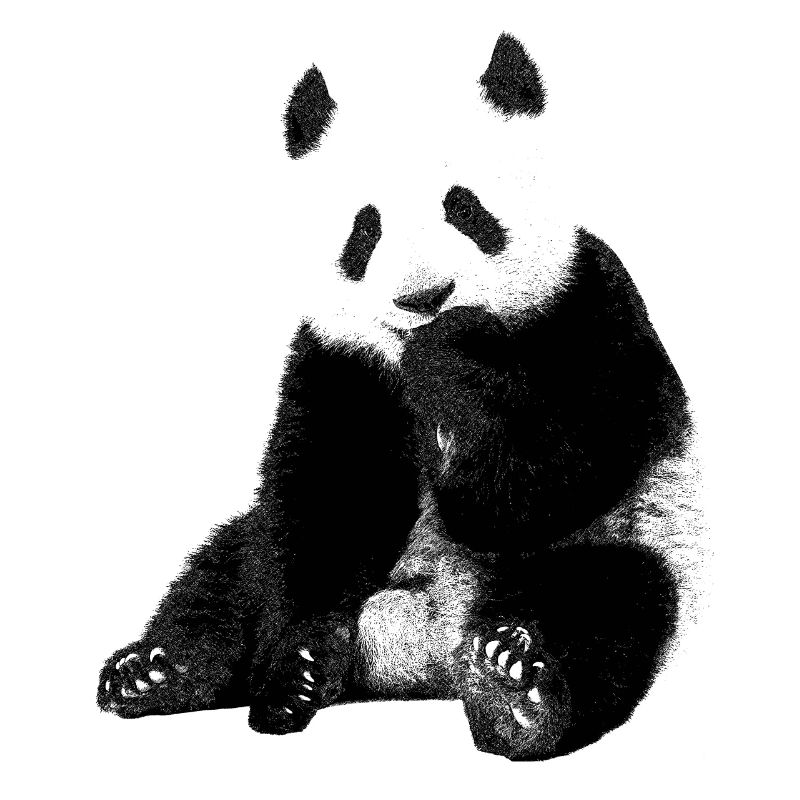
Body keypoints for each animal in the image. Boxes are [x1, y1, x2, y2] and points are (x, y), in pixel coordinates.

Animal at [97, 33, 703, 761]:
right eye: (365, 228)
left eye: (465, 208)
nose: (423, 299)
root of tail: (423, 651)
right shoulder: (339, 362)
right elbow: (322, 500)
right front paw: (296, 671)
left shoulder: (587, 308)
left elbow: (549, 476)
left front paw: (454, 371)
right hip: (260, 552)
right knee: (227, 570)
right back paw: (158, 670)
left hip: (634, 540)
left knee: (608, 604)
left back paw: (515, 692)